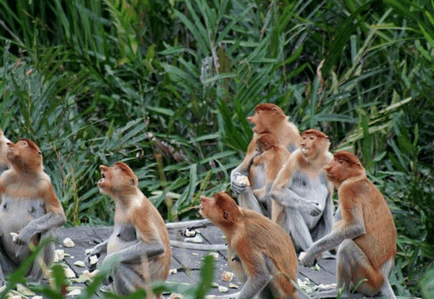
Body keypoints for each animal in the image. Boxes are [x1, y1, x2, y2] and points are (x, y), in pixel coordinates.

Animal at [0, 139, 66, 284]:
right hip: (9, 267)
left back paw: (34, 280)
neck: (23, 175)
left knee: (47, 231)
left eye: (23, 144)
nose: (10, 145)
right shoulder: (3, 179)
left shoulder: (45, 184)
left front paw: (26, 232)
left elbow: (59, 216)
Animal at [85, 163, 171, 298]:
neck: (128, 199)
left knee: (119, 266)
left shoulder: (139, 213)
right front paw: (93, 253)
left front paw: (106, 262)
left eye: (116, 169)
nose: (102, 167)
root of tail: (156, 294)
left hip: (141, 288)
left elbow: (155, 246)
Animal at [302, 152, 396, 299]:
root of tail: (384, 279)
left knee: (346, 245)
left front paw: (311, 252)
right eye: (335, 159)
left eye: (341, 162)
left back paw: (339, 291)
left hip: (368, 279)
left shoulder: (347, 190)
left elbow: (355, 227)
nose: (329, 167)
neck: (356, 177)